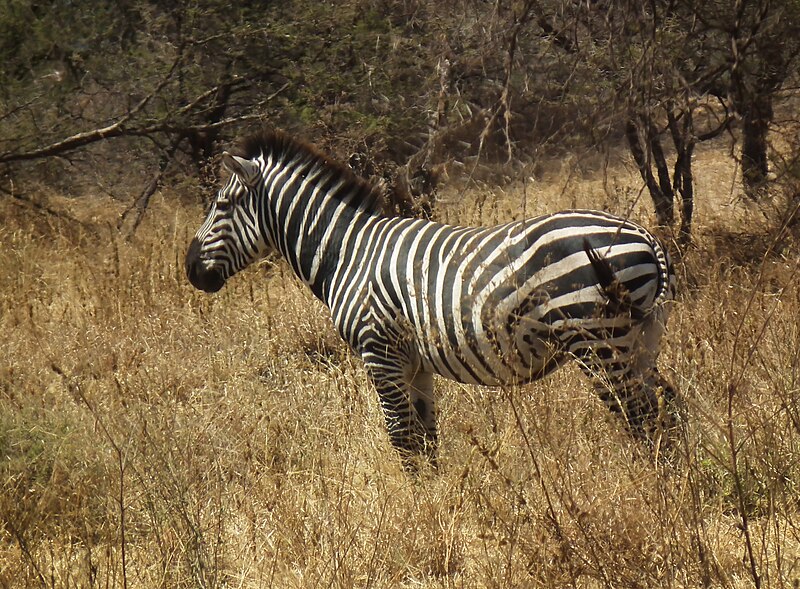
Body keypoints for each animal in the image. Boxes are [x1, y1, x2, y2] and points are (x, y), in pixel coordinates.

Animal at [188, 127, 680, 464]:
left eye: (221, 205)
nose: (191, 270)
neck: (346, 253)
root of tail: (645, 237)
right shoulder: (414, 362)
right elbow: (426, 440)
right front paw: (440, 504)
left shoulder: (379, 352)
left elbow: (401, 438)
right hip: (642, 336)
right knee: (666, 410)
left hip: (598, 340)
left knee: (640, 416)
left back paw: (652, 491)